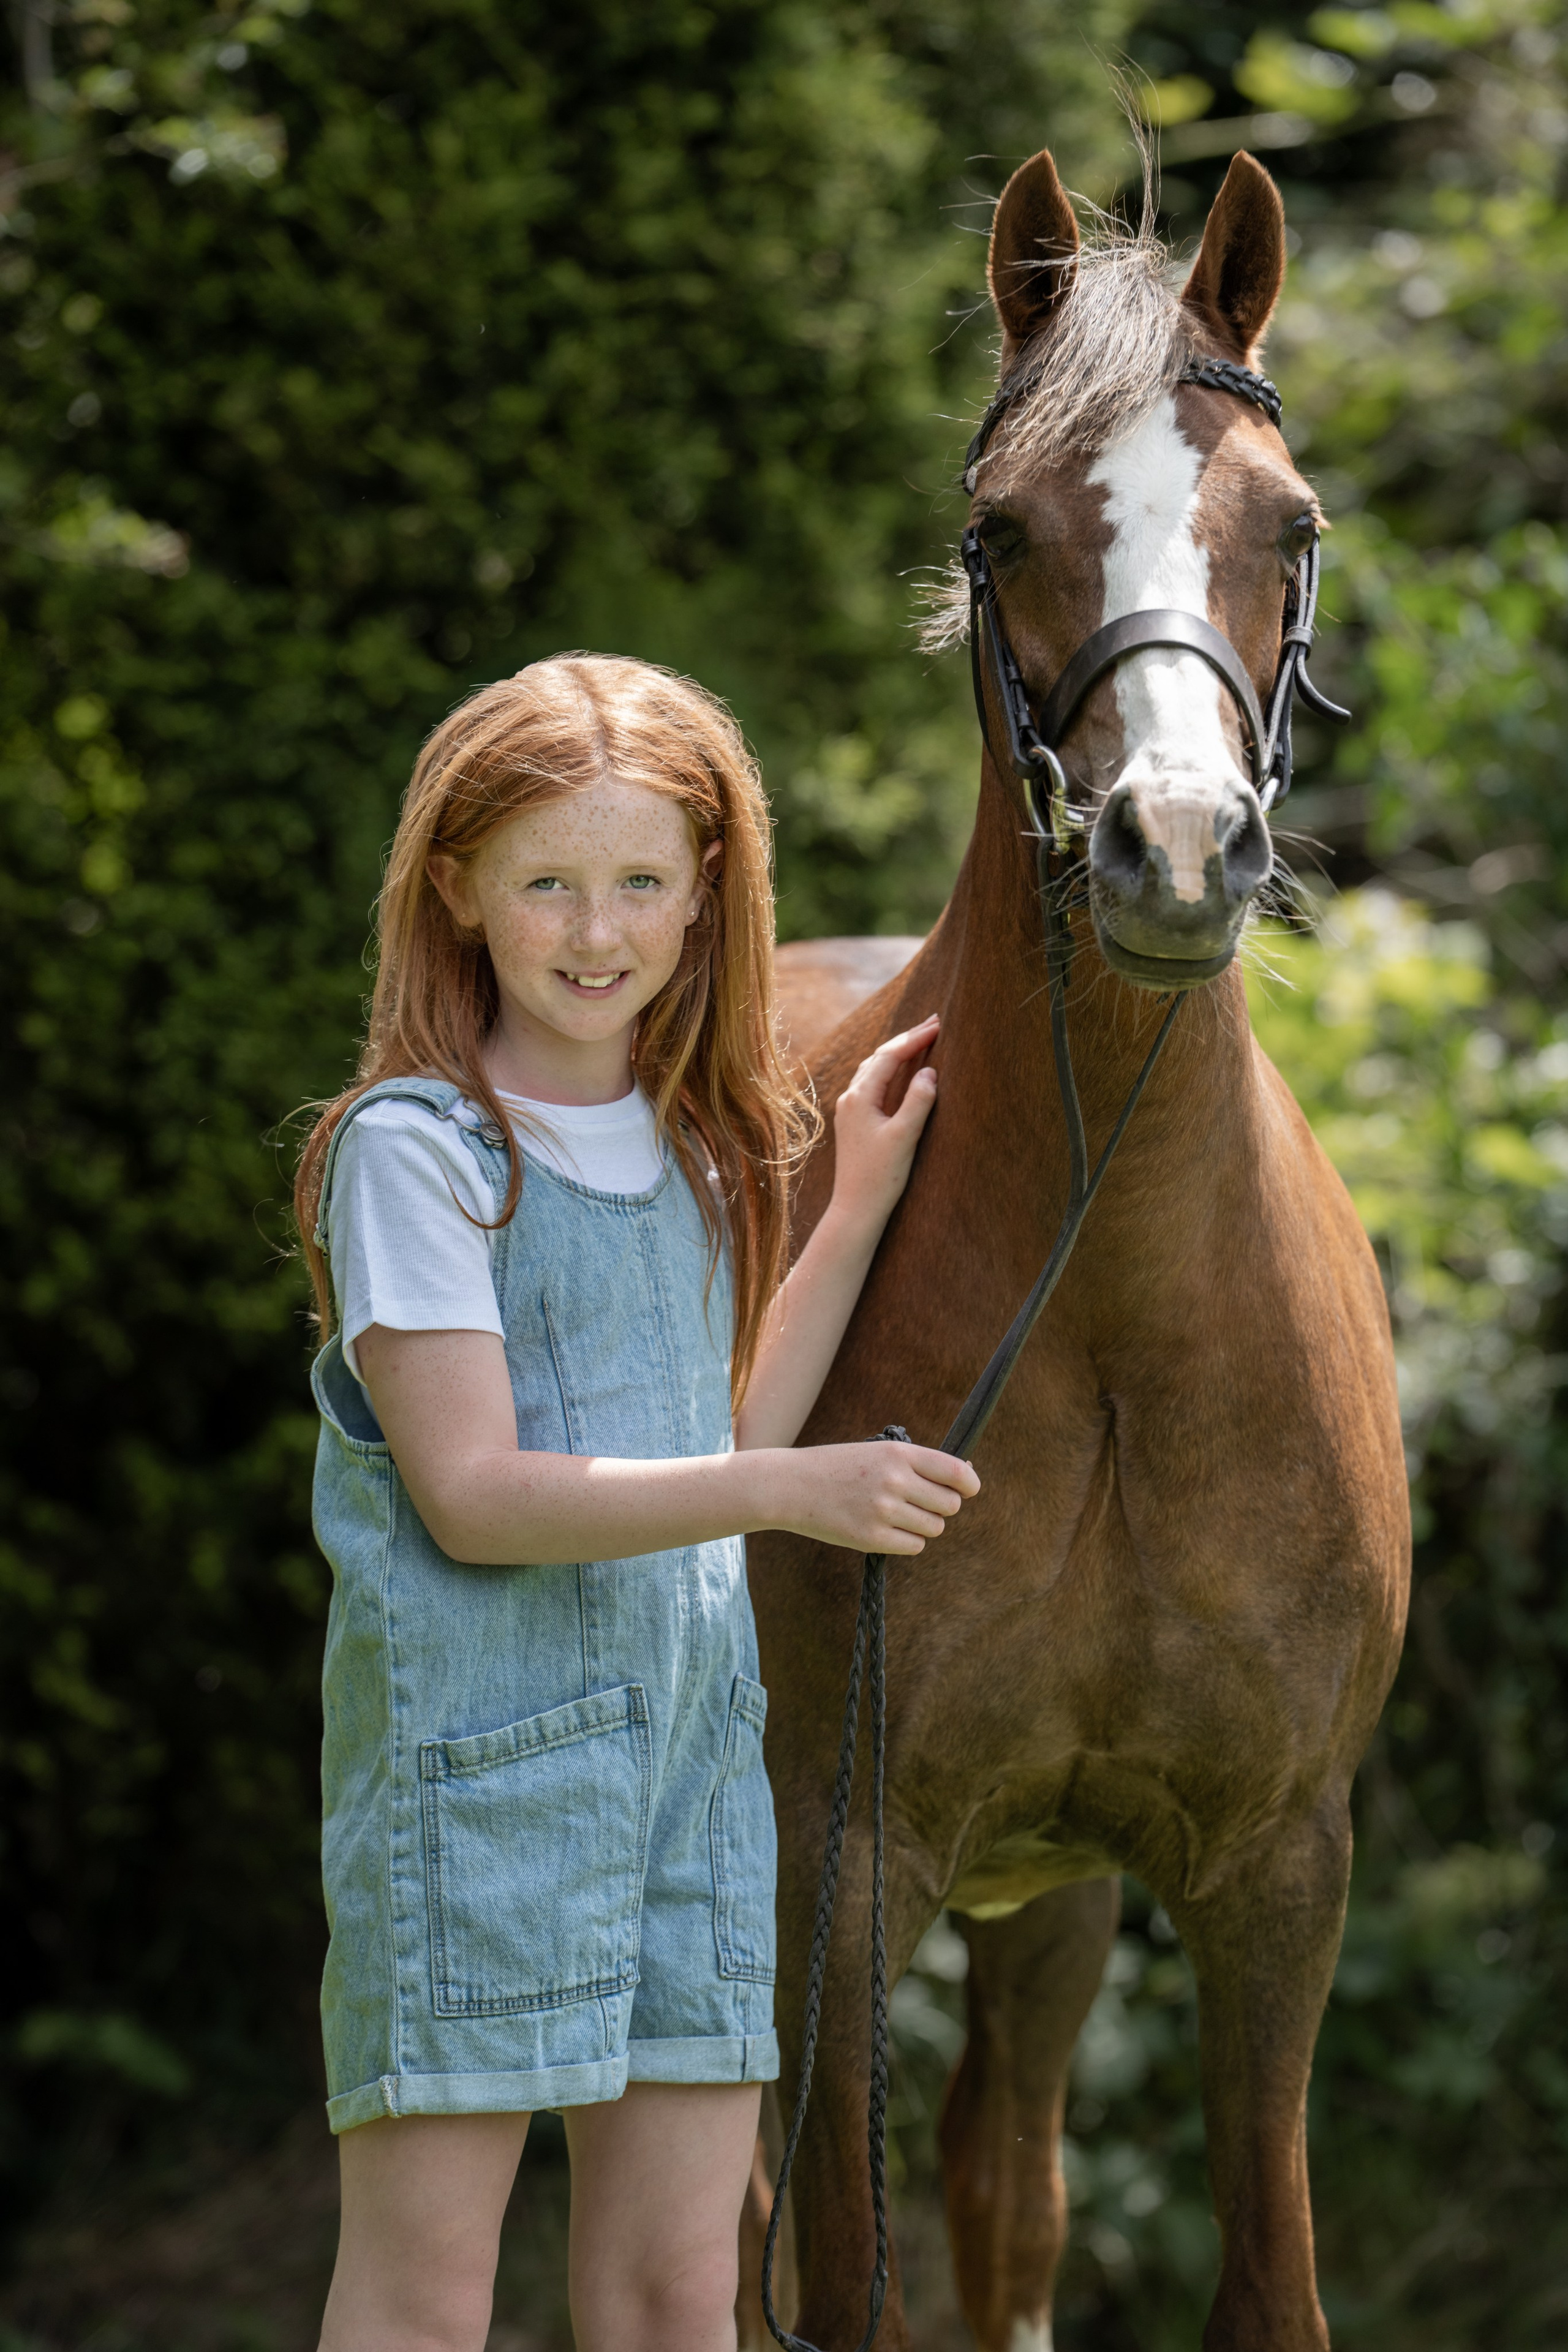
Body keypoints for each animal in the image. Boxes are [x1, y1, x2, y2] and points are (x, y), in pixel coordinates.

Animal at [746, 148, 1411, 2352]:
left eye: (1291, 527)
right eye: (1003, 532)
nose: (1178, 851)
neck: (1117, 1319)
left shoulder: (1273, 1871)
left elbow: (1262, 2281)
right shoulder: (843, 1874)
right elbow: (837, 2284)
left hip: (1048, 1911)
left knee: (1008, 2188)